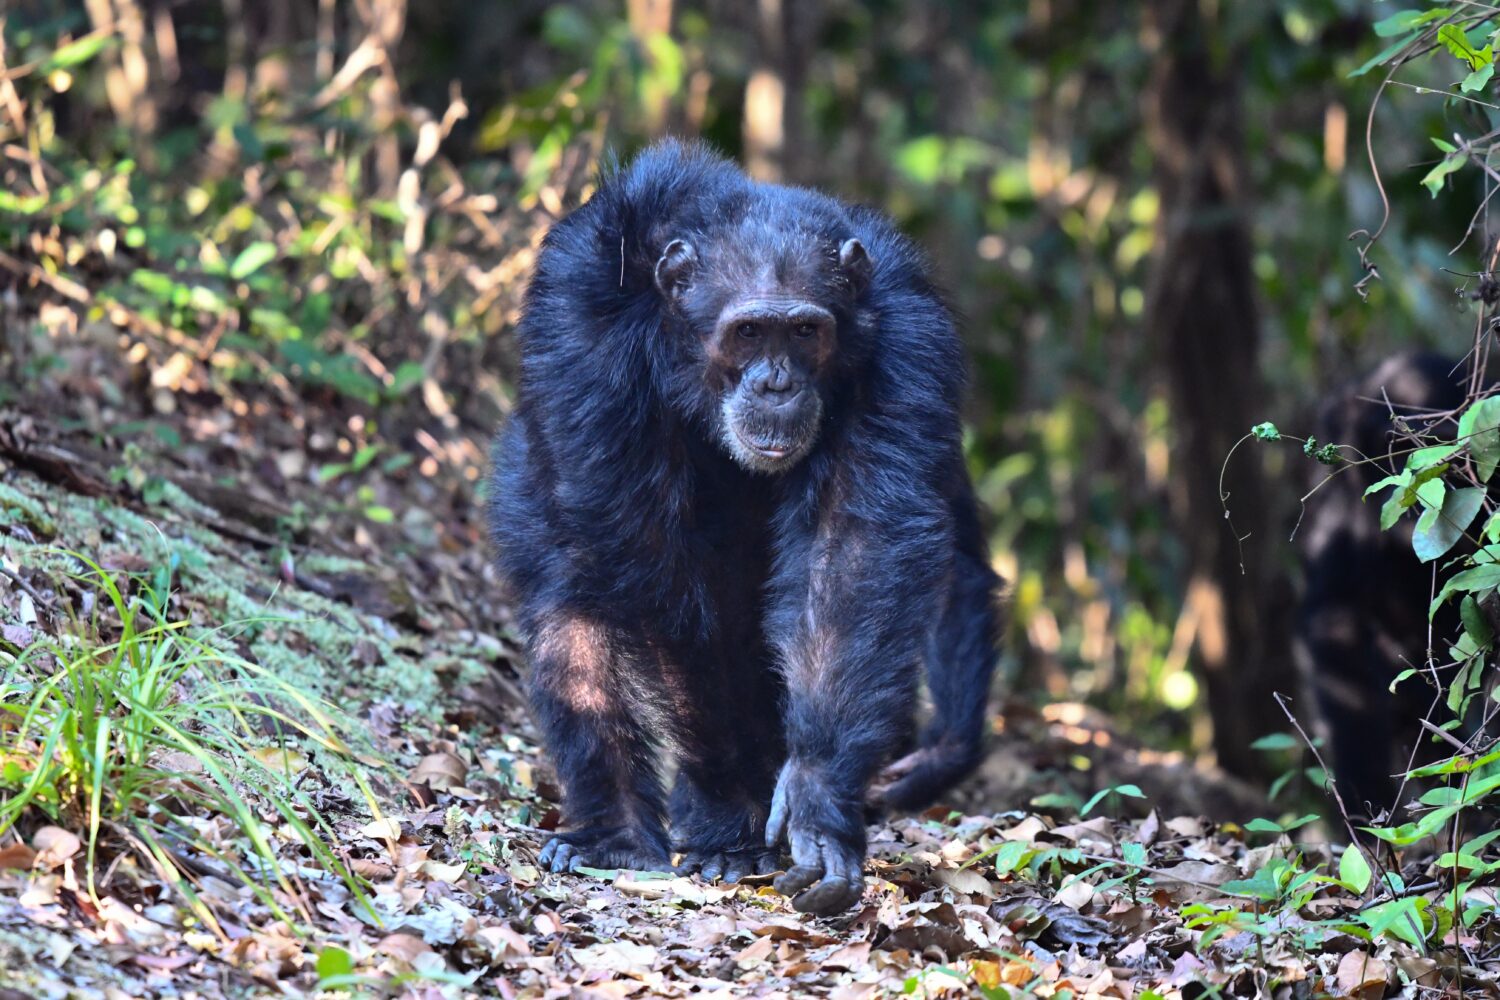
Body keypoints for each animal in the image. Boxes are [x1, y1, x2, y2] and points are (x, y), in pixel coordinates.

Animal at [488, 141, 1001, 915]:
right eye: (750, 332)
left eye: (806, 332)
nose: (776, 384)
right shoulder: (582, 329)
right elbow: (652, 574)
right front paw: (729, 808)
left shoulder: (910, 340)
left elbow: (851, 549)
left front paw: (817, 792)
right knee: (574, 593)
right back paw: (617, 834)